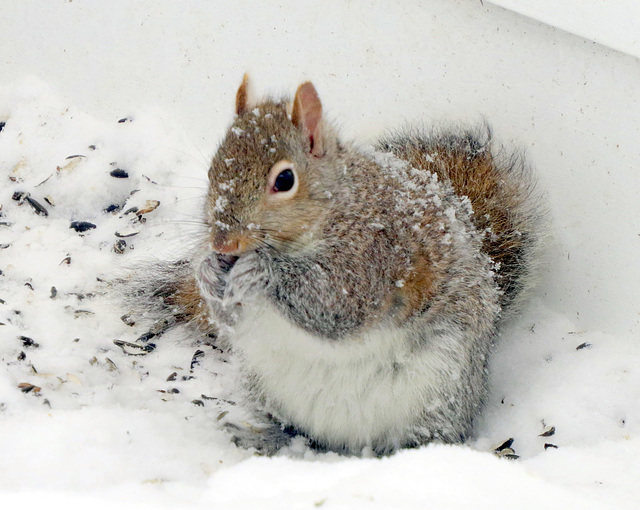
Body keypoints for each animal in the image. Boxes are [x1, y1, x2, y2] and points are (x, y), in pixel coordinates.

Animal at [132, 75, 544, 454]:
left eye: (285, 179)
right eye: (212, 170)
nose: (222, 243)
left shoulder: (374, 254)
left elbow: (334, 303)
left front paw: (260, 272)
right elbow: (231, 317)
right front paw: (207, 273)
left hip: (437, 395)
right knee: (296, 430)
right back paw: (266, 437)